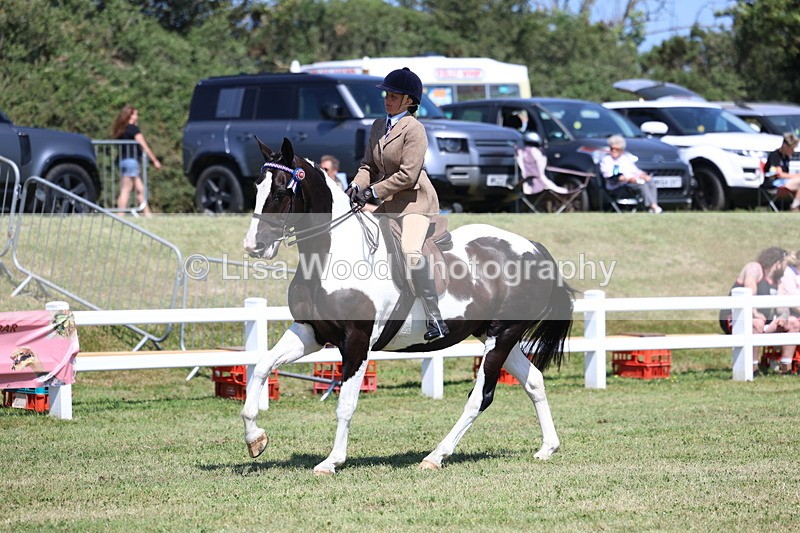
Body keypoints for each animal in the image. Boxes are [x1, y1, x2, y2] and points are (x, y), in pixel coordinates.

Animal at [240, 137, 574, 474]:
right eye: (256, 187)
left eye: (280, 192)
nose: (253, 246)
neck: (332, 253)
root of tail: (535, 249)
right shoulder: (311, 332)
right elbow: (262, 366)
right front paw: (256, 439)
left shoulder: (357, 341)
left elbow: (346, 404)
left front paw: (332, 461)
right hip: (493, 333)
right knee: (533, 380)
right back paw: (547, 447)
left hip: (502, 334)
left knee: (481, 396)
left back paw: (436, 456)